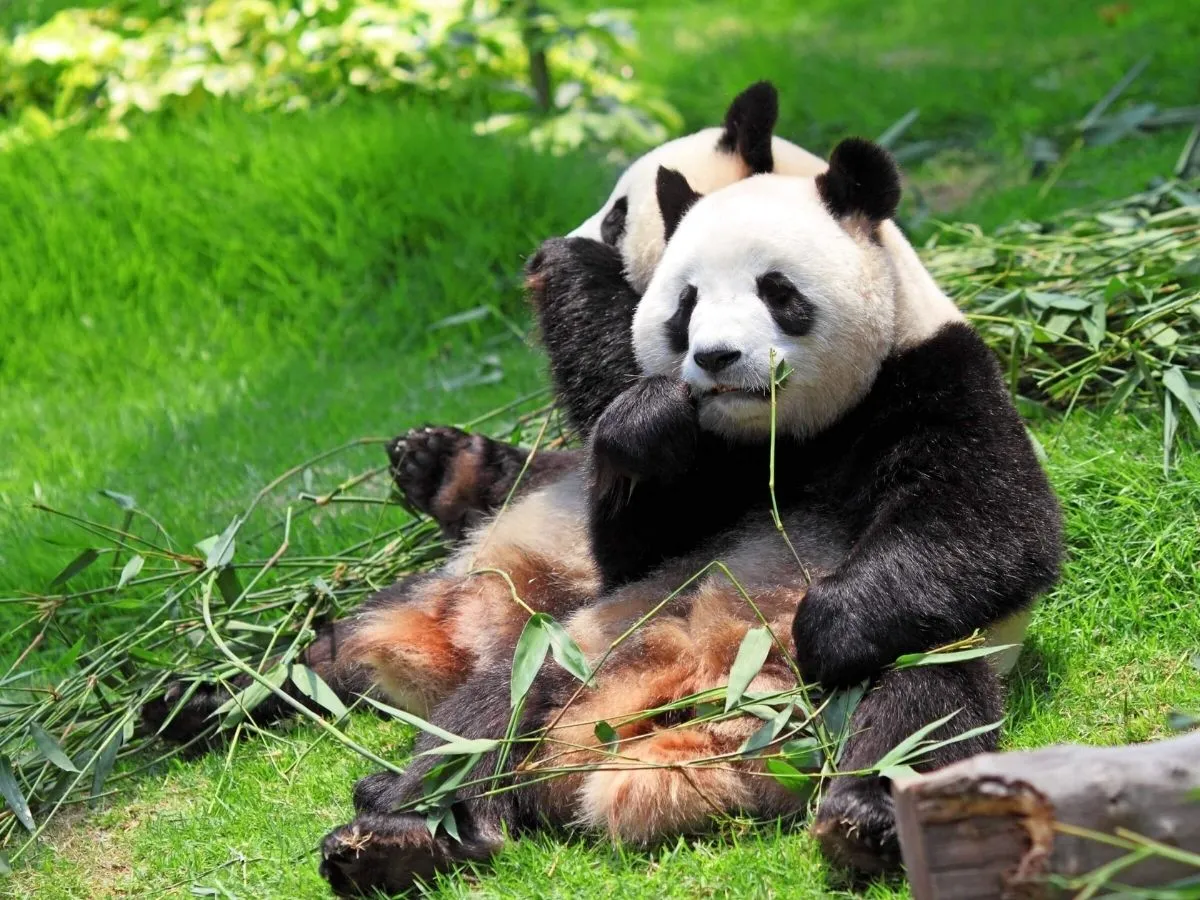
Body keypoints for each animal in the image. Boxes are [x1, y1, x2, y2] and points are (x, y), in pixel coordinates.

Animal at [147, 90, 1060, 897]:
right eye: (686, 306)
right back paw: (376, 816)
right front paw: (642, 419)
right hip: (574, 646)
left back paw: (865, 821)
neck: (782, 437)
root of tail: (674, 737)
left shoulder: (930, 380)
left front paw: (824, 624)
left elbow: (988, 534)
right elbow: (633, 520)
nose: (715, 359)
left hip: (909, 668)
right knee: (462, 715)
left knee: (921, 705)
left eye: (777, 292)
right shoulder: (702, 477)